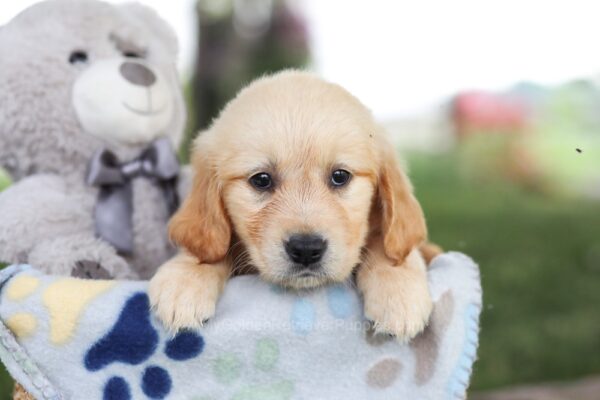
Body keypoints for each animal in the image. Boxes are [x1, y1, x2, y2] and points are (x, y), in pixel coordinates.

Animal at [151, 70, 436, 340]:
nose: (306, 249)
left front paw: (398, 289)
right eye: (261, 179)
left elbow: (386, 244)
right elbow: (211, 249)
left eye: (340, 176)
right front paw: (186, 277)